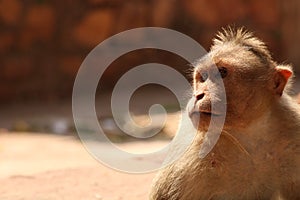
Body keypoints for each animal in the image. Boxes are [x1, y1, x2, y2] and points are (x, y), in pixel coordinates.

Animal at [149, 27, 300, 200]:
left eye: (222, 72)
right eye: (202, 78)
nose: (198, 95)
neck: (248, 136)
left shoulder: (293, 136)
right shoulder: (188, 158)